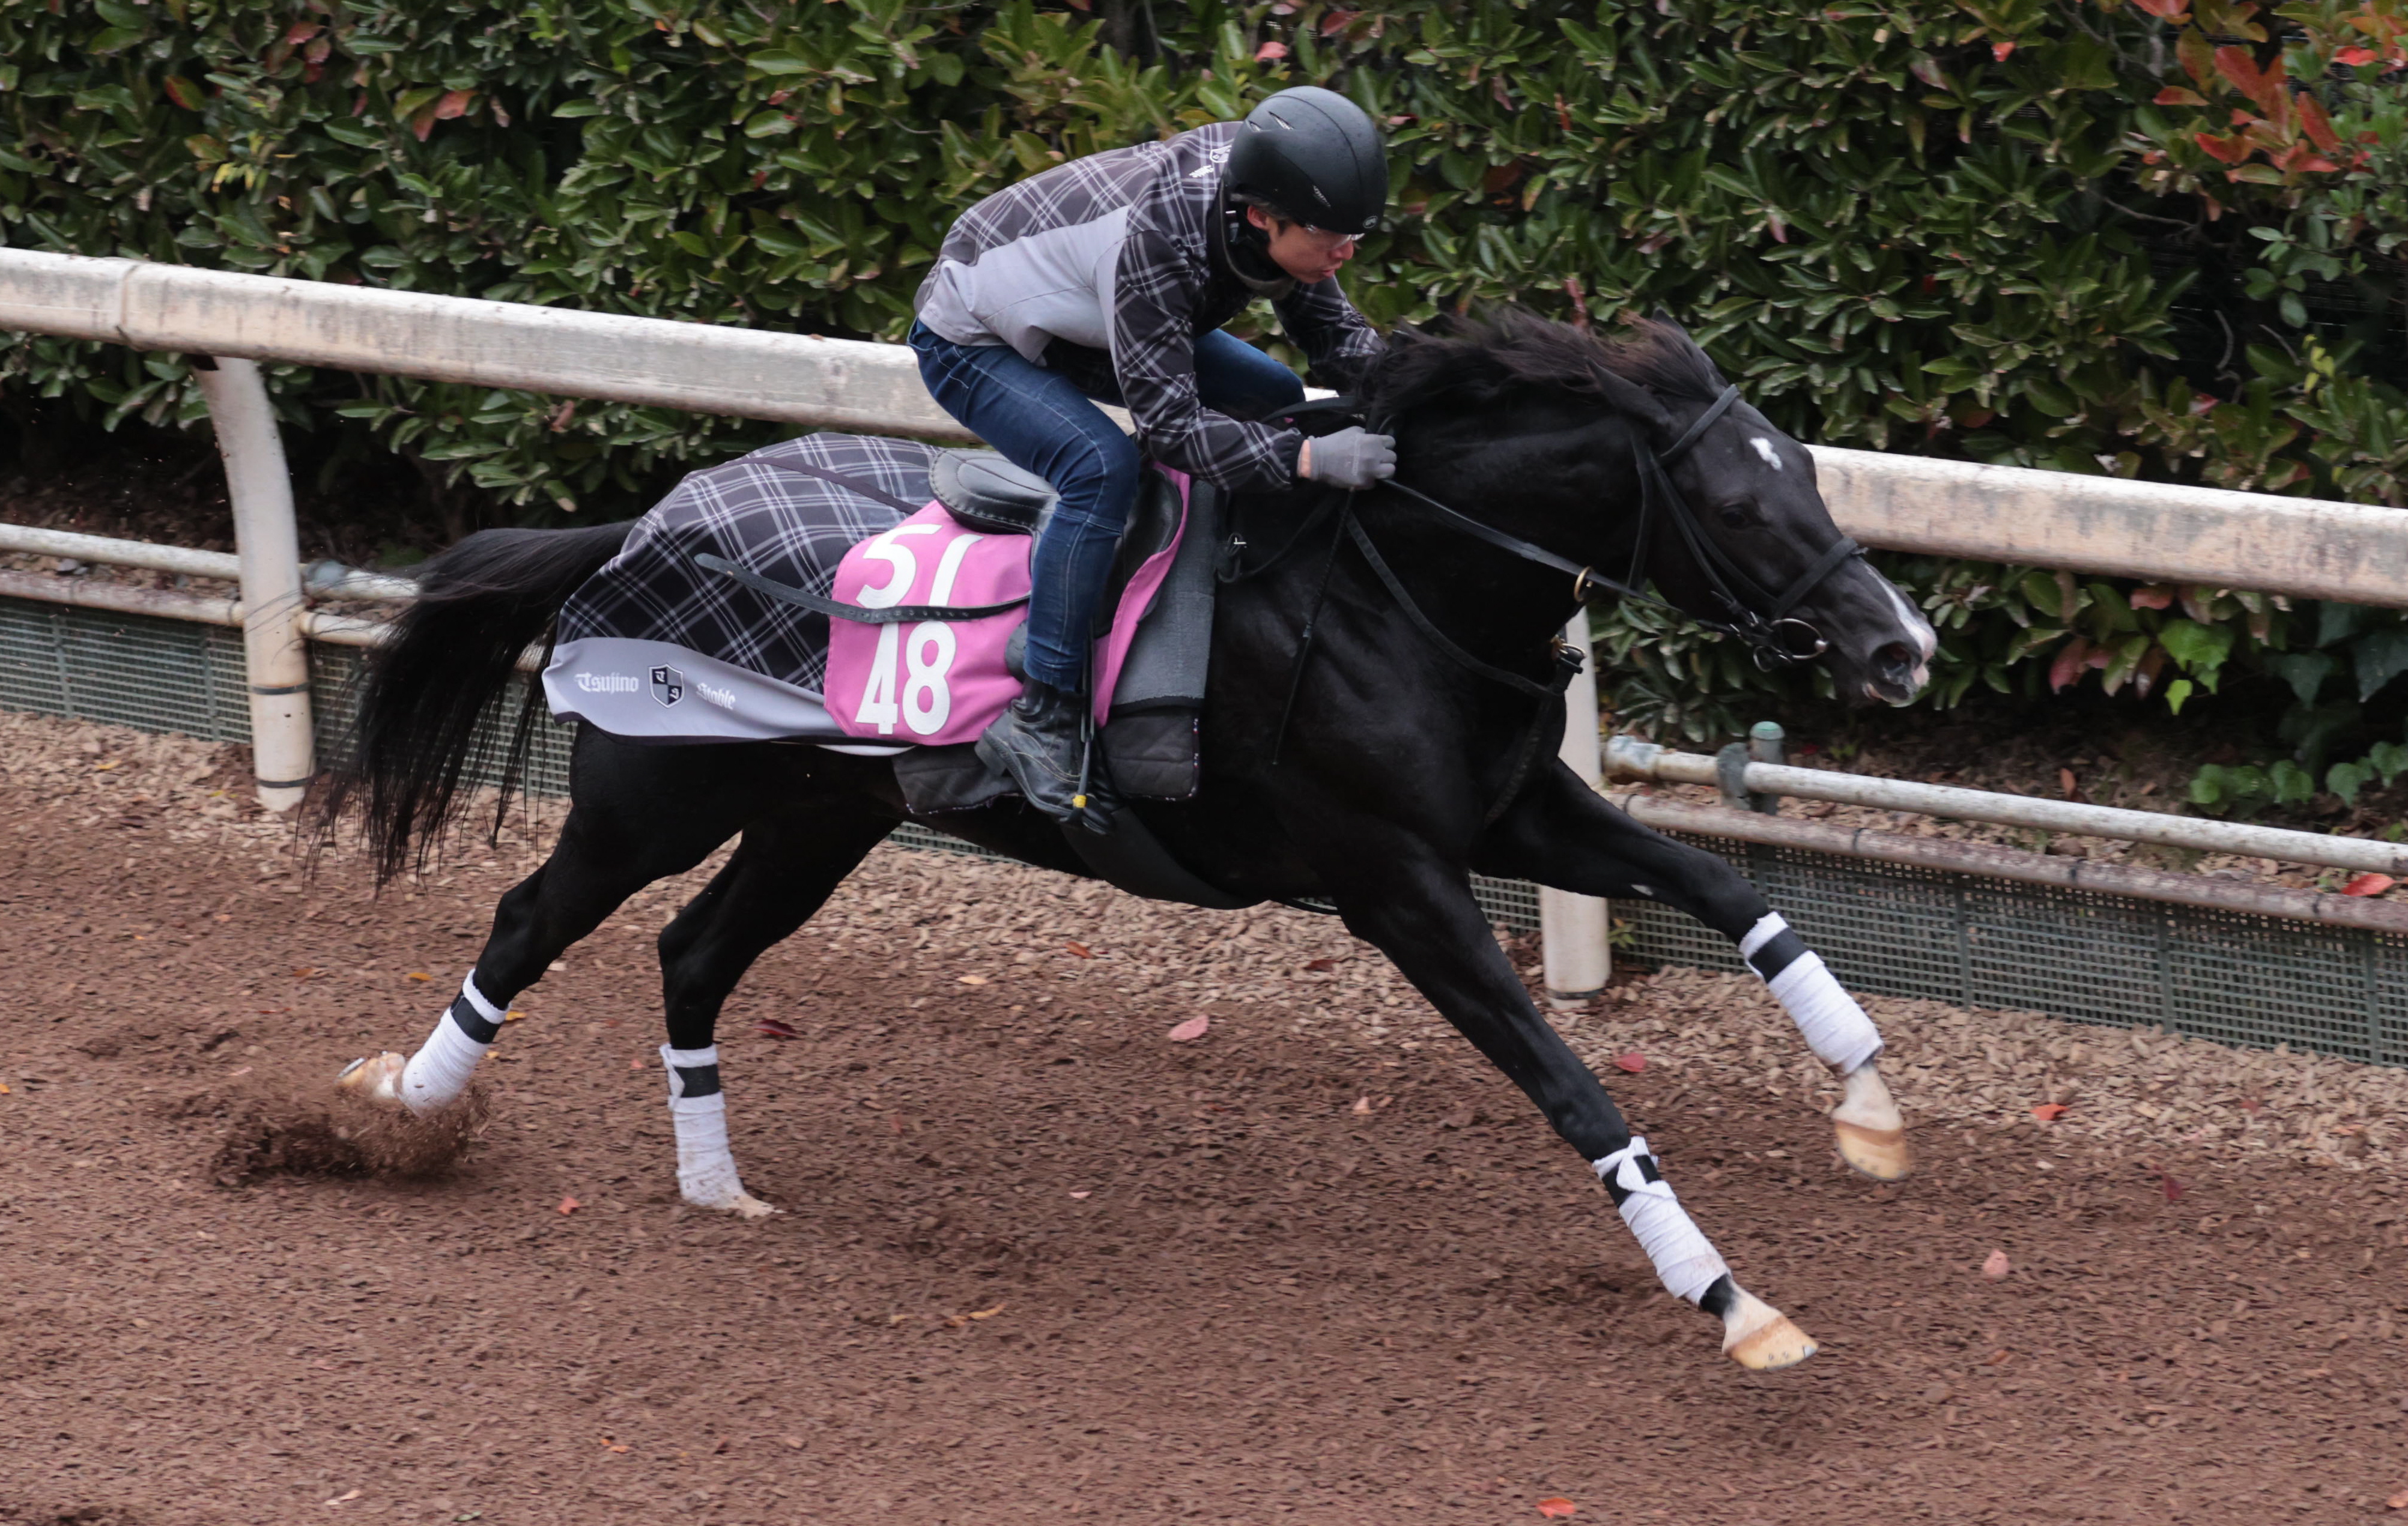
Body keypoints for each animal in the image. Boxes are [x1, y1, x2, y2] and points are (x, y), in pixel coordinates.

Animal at [322, 313, 1937, 1371]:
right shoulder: (1393, 882)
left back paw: (719, 1186)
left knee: (694, 952)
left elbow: (1724, 884)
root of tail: (644, 521)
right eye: (1736, 498)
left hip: (821, 815)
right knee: (531, 923)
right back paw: (396, 1110)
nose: (1901, 646)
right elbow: (1570, 1085)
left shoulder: (1510, 809)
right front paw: (1730, 1298)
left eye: (1807, 469)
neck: (1391, 588)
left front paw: (1866, 1096)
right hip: (654, 796)